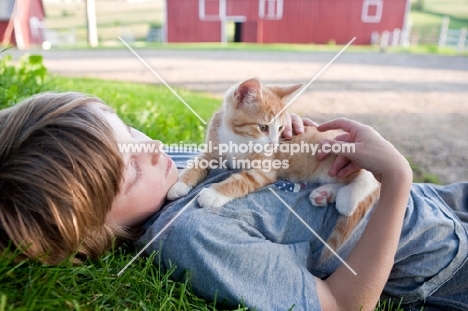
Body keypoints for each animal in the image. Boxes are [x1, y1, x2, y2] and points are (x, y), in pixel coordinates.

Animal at [168, 78, 380, 260]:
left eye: (280, 128)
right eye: (263, 127)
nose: (273, 143)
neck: (237, 137)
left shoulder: (265, 169)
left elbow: (241, 180)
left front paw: (213, 194)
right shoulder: (211, 151)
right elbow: (196, 165)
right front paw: (179, 184)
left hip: (339, 155)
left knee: (370, 179)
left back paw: (348, 200)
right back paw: (325, 194)